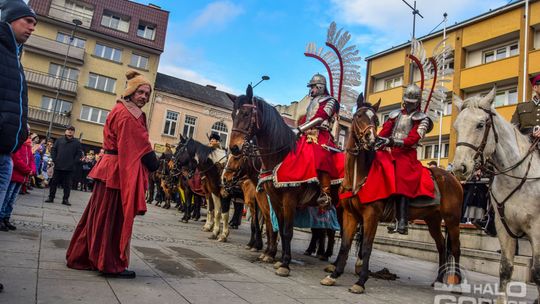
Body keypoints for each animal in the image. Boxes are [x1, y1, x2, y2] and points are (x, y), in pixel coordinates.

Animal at [229, 84, 340, 276]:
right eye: (232, 115)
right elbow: (276, 227)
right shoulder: (273, 200)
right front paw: (272, 255)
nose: (234, 148)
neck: (282, 156)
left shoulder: (288, 200)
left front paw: (284, 263)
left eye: (246, 114)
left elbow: (285, 231)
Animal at [320, 96, 464, 294]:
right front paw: (334, 275)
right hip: (433, 219)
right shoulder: (350, 214)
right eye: (358, 116)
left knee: (455, 249)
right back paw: (438, 280)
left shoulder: (371, 215)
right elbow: (345, 244)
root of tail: (454, 179)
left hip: (452, 220)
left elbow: (366, 247)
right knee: (442, 246)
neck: (360, 173)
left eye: (375, 119)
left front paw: (360, 281)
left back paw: (456, 285)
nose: (371, 138)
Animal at [452, 88, 540, 304]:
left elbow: (537, 272)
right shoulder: (504, 227)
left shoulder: (537, 230)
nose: (459, 168)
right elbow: (505, 269)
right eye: (457, 126)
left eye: (480, 124)